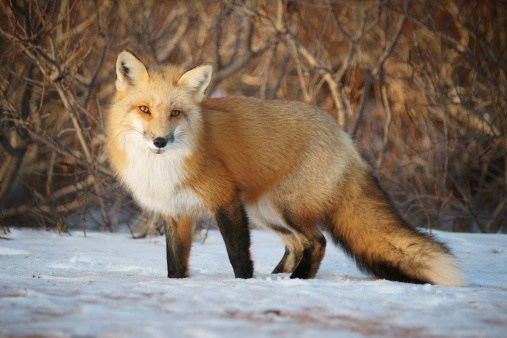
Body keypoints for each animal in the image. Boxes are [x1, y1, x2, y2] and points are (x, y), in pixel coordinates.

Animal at [106, 50, 468, 286]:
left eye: (176, 113)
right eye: (144, 109)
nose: (160, 141)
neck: (161, 167)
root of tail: (343, 135)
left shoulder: (224, 200)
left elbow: (238, 254)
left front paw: (244, 285)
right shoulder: (175, 213)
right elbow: (175, 265)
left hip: (283, 207)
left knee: (317, 241)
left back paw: (297, 280)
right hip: (265, 211)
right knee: (296, 245)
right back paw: (279, 277)